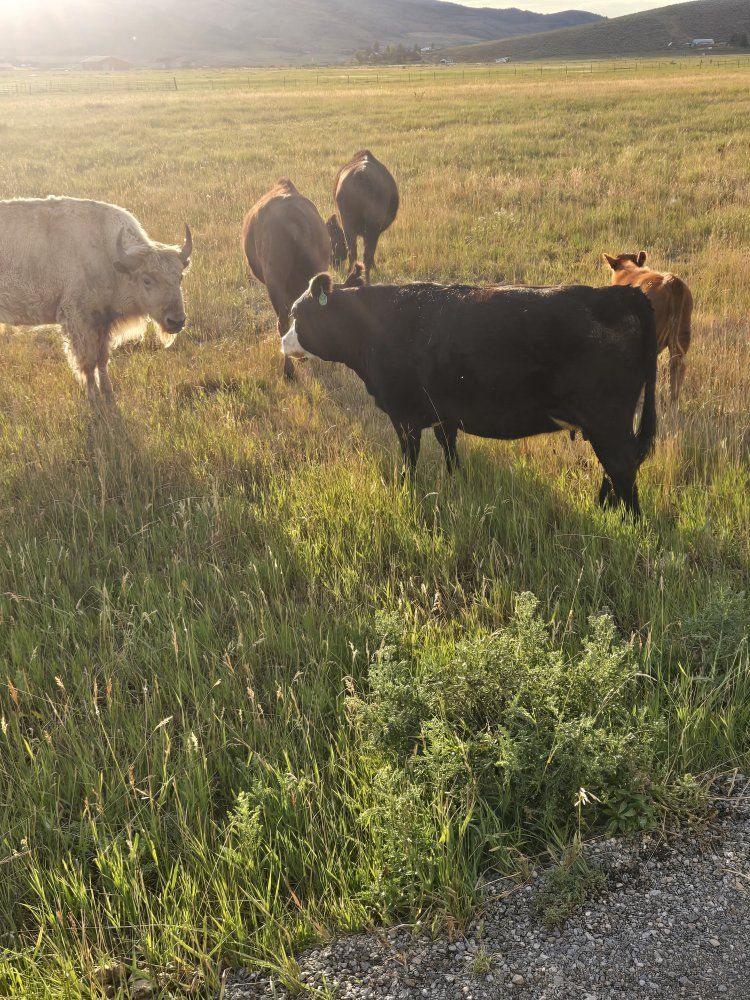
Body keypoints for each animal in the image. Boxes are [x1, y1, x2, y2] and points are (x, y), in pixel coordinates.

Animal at [0, 196, 191, 401]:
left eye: (180, 277)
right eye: (146, 280)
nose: (176, 321)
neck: (109, 256)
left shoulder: (103, 322)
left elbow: (102, 358)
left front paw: (108, 392)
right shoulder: (80, 320)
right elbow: (88, 361)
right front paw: (93, 396)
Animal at [282, 277, 658, 517]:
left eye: (296, 315)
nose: (282, 341)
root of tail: (617, 293)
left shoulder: (404, 417)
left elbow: (409, 462)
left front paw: (405, 492)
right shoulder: (443, 415)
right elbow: (450, 452)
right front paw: (458, 484)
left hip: (606, 419)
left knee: (621, 466)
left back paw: (628, 521)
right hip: (607, 425)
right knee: (613, 470)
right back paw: (604, 508)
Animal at [332, 151, 399, 284]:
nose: (334, 264)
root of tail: (361, 175)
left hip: (351, 226)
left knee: (355, 252)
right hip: (368, 226)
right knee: (363, 254)